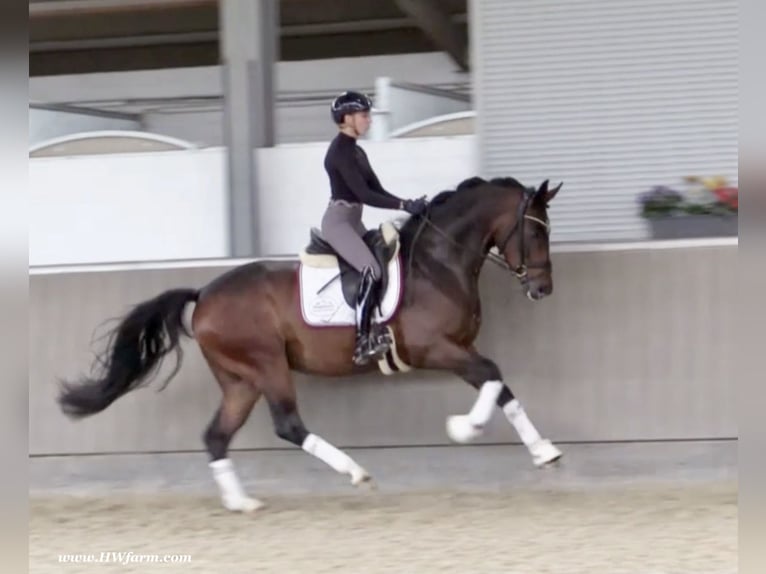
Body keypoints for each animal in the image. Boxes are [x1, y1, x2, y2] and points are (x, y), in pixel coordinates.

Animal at [57, 176, 564, 512]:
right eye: (537, 230)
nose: (543, 290)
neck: (437, 262)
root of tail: (204, 296)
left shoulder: (455, 347)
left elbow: (500, 387)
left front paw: (544, 452)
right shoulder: (433, 348)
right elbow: (493, 375)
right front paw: (465, 429)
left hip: (241, 380)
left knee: (217, 435)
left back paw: (242, 503)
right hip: (267, 365)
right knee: (287, 425)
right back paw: (356, 473)